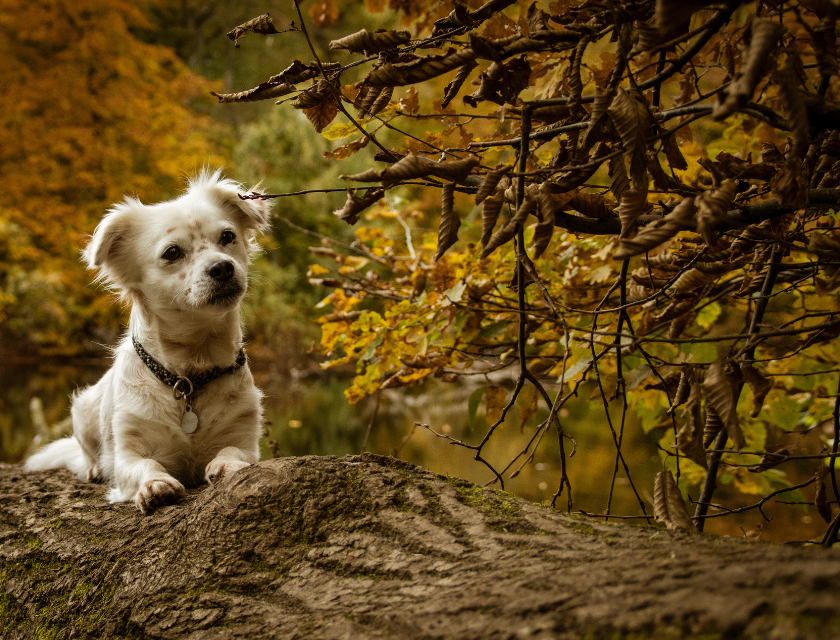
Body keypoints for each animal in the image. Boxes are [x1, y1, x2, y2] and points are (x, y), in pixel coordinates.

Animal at [25, 171, 270, 516]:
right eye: (172, 253)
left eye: (227, 236)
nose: (222, 267)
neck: (190, 373)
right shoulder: (128, 454)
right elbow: (145, 464)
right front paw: (155, 485)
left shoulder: (245, 436)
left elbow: (235, 451)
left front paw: (227, 466)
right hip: (83, 409)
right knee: (87, 452)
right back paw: (93, 469)